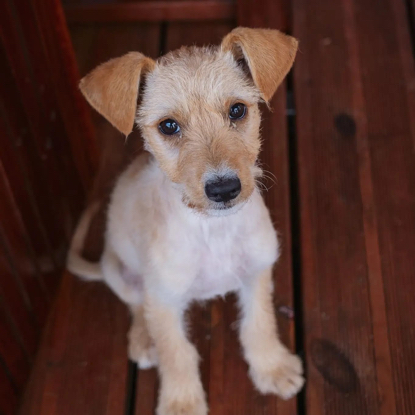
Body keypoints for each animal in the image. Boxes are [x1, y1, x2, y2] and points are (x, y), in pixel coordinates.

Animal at [67, 27, 304, 415]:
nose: (223, 189)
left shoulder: (257, 272)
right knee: (137, 305)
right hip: (117, 269)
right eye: (168, 126)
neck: (213, 229)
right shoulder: (164, 300)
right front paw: (181, 401)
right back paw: (143, 340)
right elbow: (176, 353)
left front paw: (272, 367)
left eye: (237, 110)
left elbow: (259, 325)